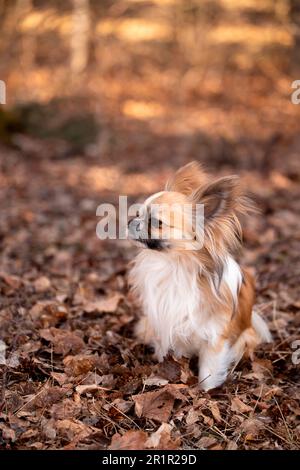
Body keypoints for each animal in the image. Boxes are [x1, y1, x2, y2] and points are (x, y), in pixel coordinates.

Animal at [127, 162, 272, 390]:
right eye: (138, 213)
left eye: (156, 222)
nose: (131, 221)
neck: (174, 265)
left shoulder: (215, 336)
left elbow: (209, 369)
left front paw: (205, 391)